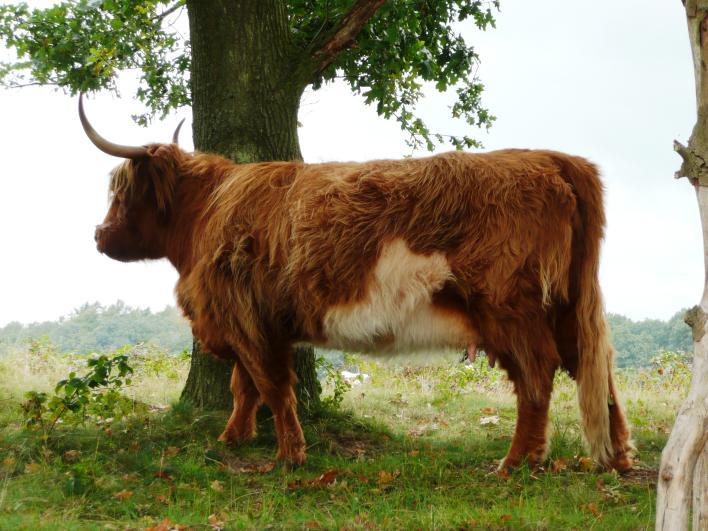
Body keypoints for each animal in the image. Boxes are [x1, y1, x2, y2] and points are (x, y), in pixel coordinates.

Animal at [80, 96, 632, 474]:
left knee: (537, 375)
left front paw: (290, 455)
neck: (207, 213)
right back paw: (618, 456)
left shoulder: (244, 316)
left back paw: (515, 463)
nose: (99, 235)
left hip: (509, 306)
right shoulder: (253, 321)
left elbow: (272, 385)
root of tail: (554, 159)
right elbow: (246, 386)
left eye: (122, 194)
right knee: (593, 365)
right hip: (566, 303)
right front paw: (233, 439)